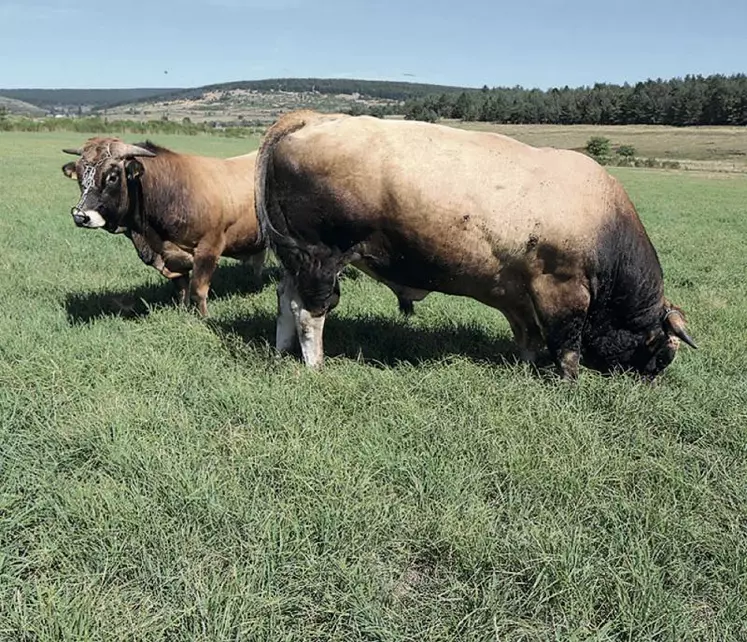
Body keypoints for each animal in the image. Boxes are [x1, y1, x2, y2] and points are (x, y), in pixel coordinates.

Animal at [62, 138, 266, 316]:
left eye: (112, 177)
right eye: (80, 177)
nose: (80, 216)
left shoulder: (209, 248)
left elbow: (198, 291)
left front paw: (204, 318)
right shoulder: (171, 256)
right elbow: (182, 289)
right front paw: (184, 313)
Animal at [254, 112, 700, 378]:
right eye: (663, 354)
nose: (649, 382)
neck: (604, 223)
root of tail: (312, 118)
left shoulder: (518, 294)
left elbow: (529, 336)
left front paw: (528, 365)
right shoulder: (562, 290)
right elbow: (566, 345)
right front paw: (569, 381)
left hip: (297, 259)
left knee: (285, 299)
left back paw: (281, 350)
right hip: (321, 257)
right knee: (310, 312)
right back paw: (316, 365)